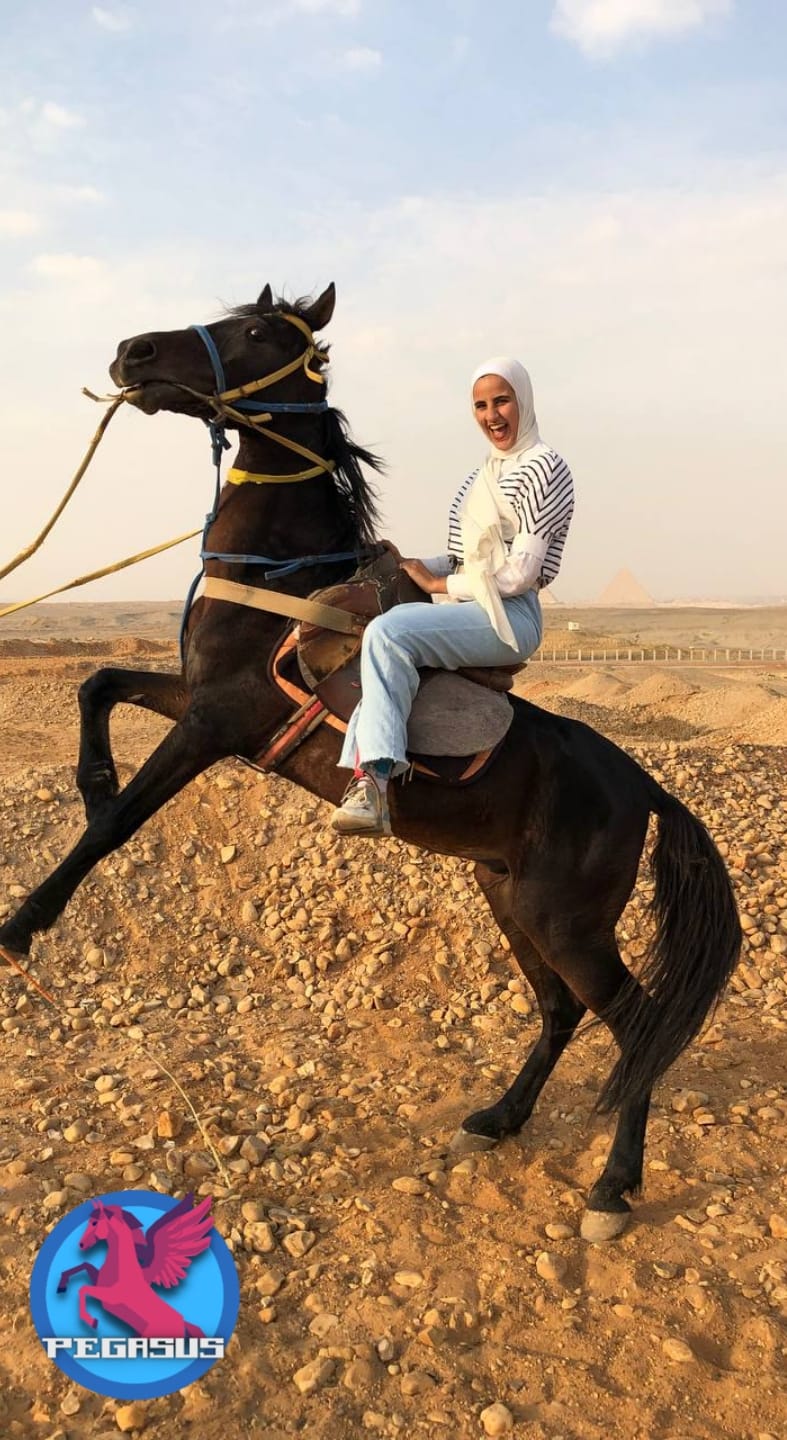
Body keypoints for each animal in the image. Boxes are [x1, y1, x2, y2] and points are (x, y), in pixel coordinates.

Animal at [0, 280, 742, 1238]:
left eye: (253, 330)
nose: (133, 353)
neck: (280, 582)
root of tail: (643, 785)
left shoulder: (213, 723)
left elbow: (117, 826)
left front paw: (24, 925)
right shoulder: (198, 697)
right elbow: (97, 684)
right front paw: (90, 781)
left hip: (566, 920)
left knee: (634, 1024)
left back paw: (612, 1188)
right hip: (510, 897)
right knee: (558, 1011)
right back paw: (497, 1119)